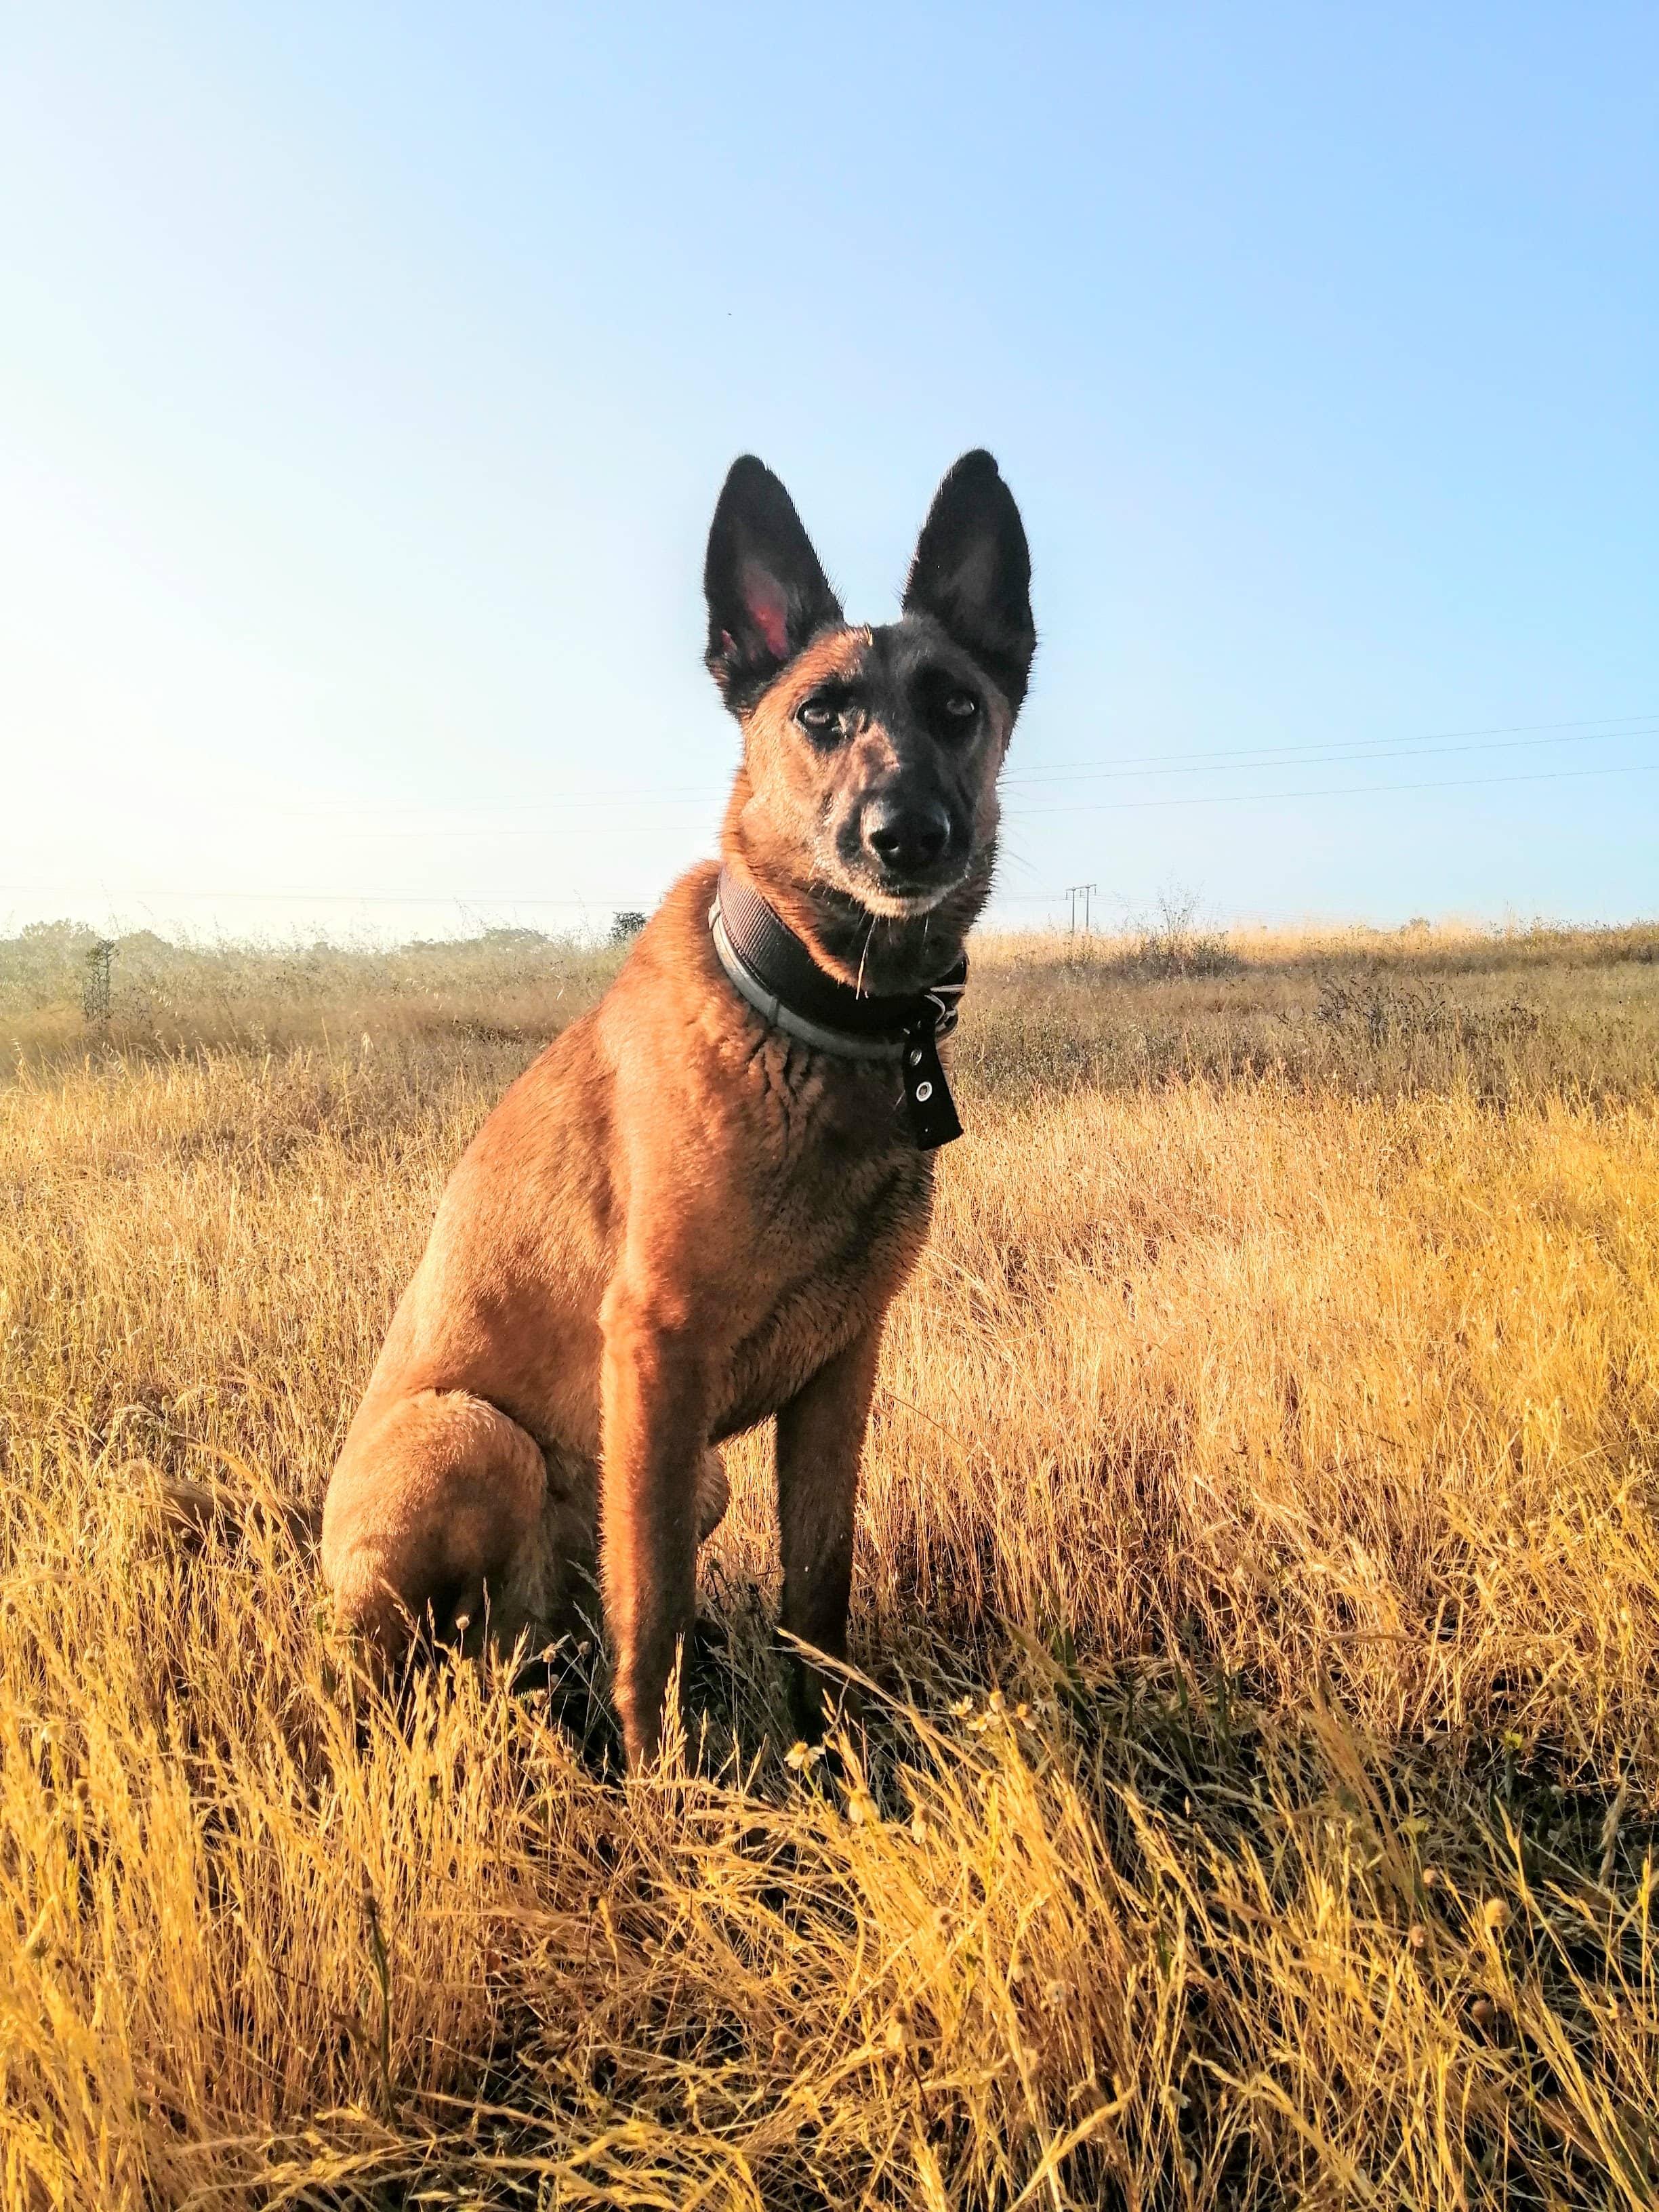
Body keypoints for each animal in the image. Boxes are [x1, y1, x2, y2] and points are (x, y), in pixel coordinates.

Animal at [319, 445, 1035, 1761]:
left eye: (957, 706)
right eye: (820, 714)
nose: (907, 836)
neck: (815, 1014)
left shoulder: (840, 1368)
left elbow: (818, 1593)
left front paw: (827, 1754)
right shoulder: (656, 1348)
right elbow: (651, 1609)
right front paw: (665, 1788)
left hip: (694, 1477)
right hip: (475, 1436)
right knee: (426, 1661)